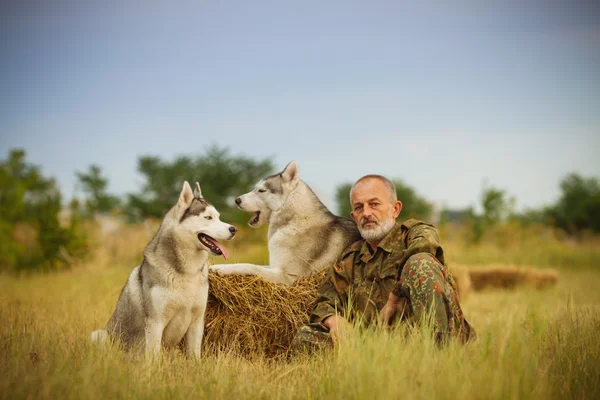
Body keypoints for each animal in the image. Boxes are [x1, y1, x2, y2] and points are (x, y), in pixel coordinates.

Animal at [91, 182, 237, 360]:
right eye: (208, 217)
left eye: (218, 216)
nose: (233, 229)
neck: (187, 273)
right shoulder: (155, 323)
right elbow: (153, 357)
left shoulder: (197, 321)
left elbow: (195, 356)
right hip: (99, 335)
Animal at [211, 162, 360, 284]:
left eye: (261, 190)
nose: (236, 200)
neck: (295, 221)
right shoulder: (275, 266)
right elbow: (249, 263)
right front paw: (221, 266)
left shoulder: (288, 276)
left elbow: (251, 266)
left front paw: (223, 269)